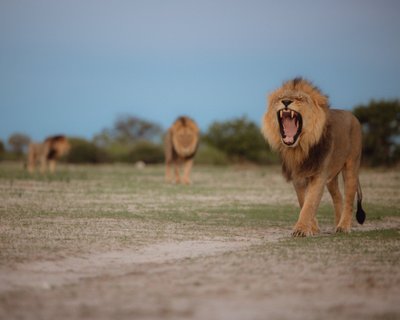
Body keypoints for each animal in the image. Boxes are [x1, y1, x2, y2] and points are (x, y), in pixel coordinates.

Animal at [262, 77, 366, 236]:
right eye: (280, 98)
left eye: (300, 98)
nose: (286, 101)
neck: (300, 149)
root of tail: (353, 116)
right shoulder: (297, 177)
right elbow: (303, 201)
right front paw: (313, 228)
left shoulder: (319, 175)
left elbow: (310, 202)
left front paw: (301, 230)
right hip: (332, 178)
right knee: (338, 196)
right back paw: (337, 223)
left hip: (351, 166)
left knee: (349, 197)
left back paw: (343, 226)